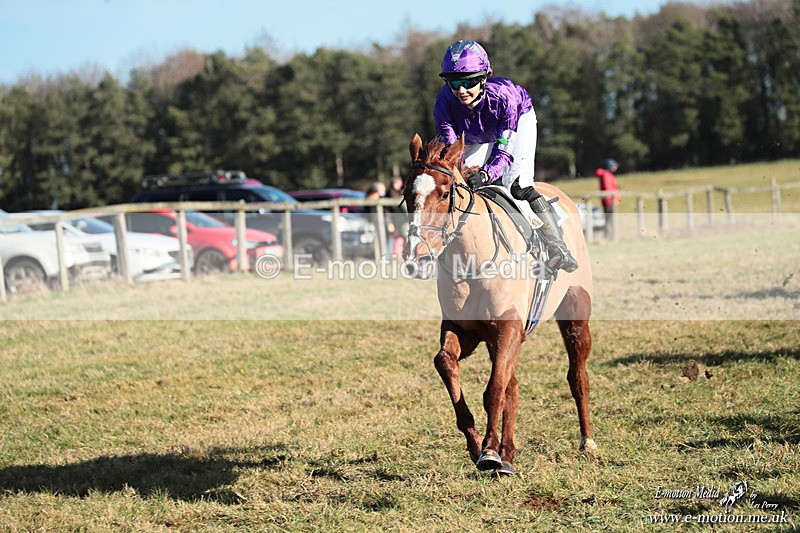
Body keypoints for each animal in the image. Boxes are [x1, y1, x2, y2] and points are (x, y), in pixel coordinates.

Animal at [402, 134, 596, 475]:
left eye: (444, 193)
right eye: (406, 194)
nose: (417, 257)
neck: (472, 259)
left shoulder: (508, 327)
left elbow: (494, 390)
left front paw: (490, 451)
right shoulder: (466, 330)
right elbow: (445, 362)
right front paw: (476, 446)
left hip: (574, 314)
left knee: (577, 376)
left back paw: (586, 441)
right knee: (513, 387)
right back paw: (509, 455)